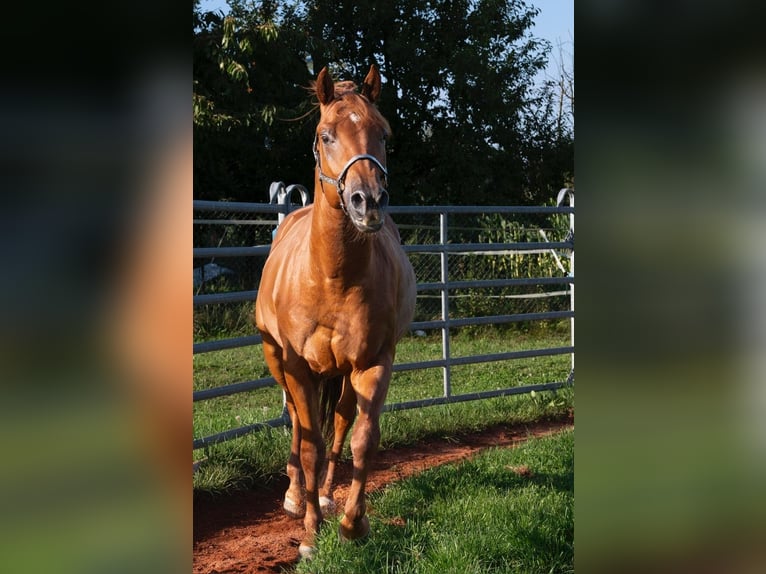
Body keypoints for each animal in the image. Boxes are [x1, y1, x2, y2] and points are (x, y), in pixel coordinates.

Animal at [255, 65, 416, 560]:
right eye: (326, 135)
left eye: (383, 133)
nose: (368, 200)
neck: (330, 277)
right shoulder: (297, 367)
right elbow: (308, 443)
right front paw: (309, 532)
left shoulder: (374, 362)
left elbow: (362, 438)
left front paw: (350, 523)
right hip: (277, 360)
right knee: (297, 424)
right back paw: (296, 496)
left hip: (344, 373)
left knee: (342, 422)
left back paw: (325, 495)